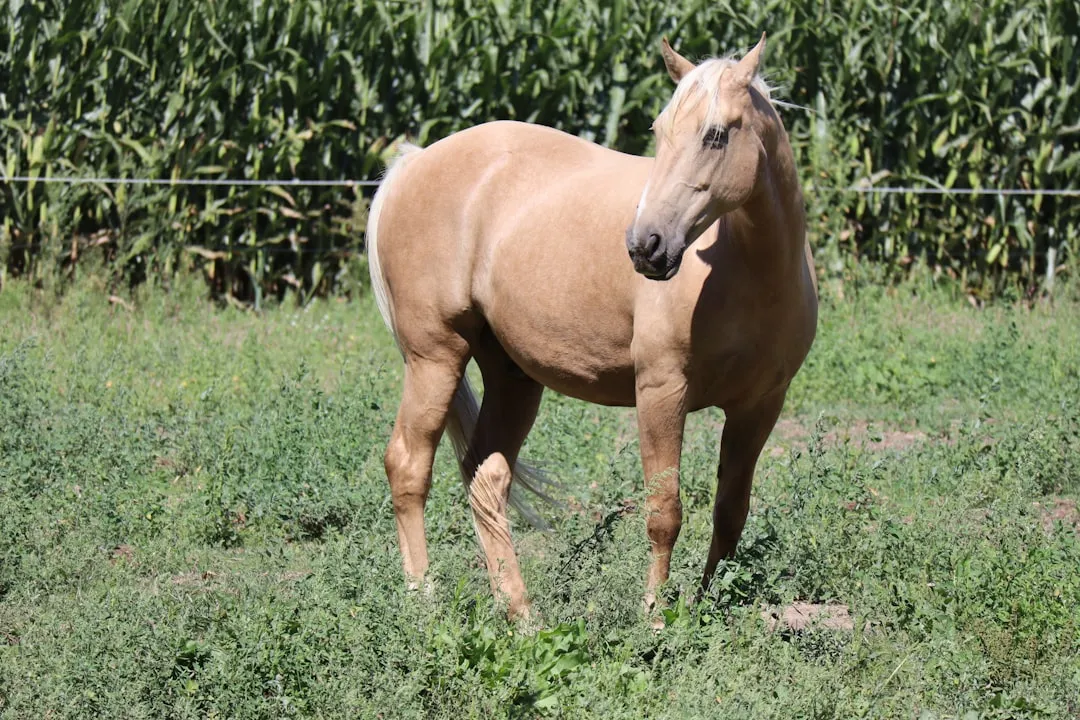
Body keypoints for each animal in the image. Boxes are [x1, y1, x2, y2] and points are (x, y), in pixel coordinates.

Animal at [366, 34, 817, 622]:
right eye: (659, 130)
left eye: (716, 134)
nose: (645, 245)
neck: (748, 271)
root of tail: (414, 163)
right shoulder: (661, 392)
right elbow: (664, 512)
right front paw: (655, 618)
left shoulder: (760, 406)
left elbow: (730, 513)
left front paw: (702, 607)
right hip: (435, 357)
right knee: (409, 466)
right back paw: (424, 601)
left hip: (512, 376)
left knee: (485, 478)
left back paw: (521, 615)